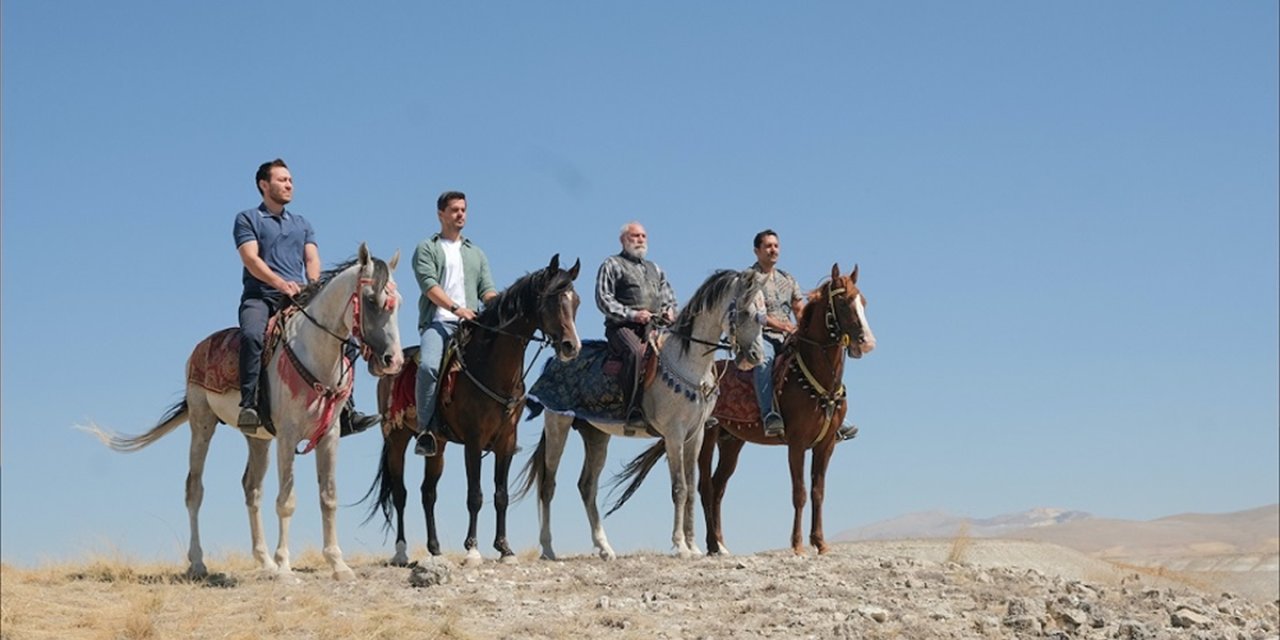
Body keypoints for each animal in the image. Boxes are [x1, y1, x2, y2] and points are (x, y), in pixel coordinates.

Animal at [82, 243, 401, 581]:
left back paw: (264, 561)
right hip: (202, 423)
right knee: (194, 489)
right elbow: (286, 500)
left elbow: (328, 497)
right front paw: (285, 567)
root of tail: (199, 349)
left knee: (252, 489)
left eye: (398, 303)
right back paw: (199, 563)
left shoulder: (329, 435)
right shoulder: (287, 436)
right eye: (370, 300)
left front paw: (337, 564)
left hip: (258, 439)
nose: (392, 360)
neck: (313, 353)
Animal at [360, 254, 581, 565]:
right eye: (551, 301)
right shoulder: (474, 442)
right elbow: (474, 495)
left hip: (437, 446)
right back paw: (401, 551)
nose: (572, 346)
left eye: (576, 302)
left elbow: (501, 495)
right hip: (396, 438)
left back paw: (435, 548)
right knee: (400, 493)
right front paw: (473, 549)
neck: (490, 366)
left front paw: (505, 549)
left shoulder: (505, 442)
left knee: (428, 493)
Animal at [519, 270, 768, 560]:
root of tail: (557, 359)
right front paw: (680, 545)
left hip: (596, 435)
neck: (689, 363)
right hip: (558, 424)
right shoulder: (673, 435)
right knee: (548, 484)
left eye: (763, 314)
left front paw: (694, 546)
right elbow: (680, 488)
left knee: (587, 486)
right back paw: (548, 548)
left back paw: (605, 548)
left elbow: (692, 490)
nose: (756, 355)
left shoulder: (694, 437)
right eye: (745, 312)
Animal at [611, 263, 875, 555]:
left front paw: (820, 543)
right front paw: (797, 545)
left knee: (718, 488)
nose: (866, 341)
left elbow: (818, 492)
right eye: (843, 302)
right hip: (707, 439)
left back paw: (720, 544)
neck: (820, 380)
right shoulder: (796, 443)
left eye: (863, 302)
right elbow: (800, 492)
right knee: (706, 488)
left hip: (732, 443)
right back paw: (712, 545)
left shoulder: (825, 444)